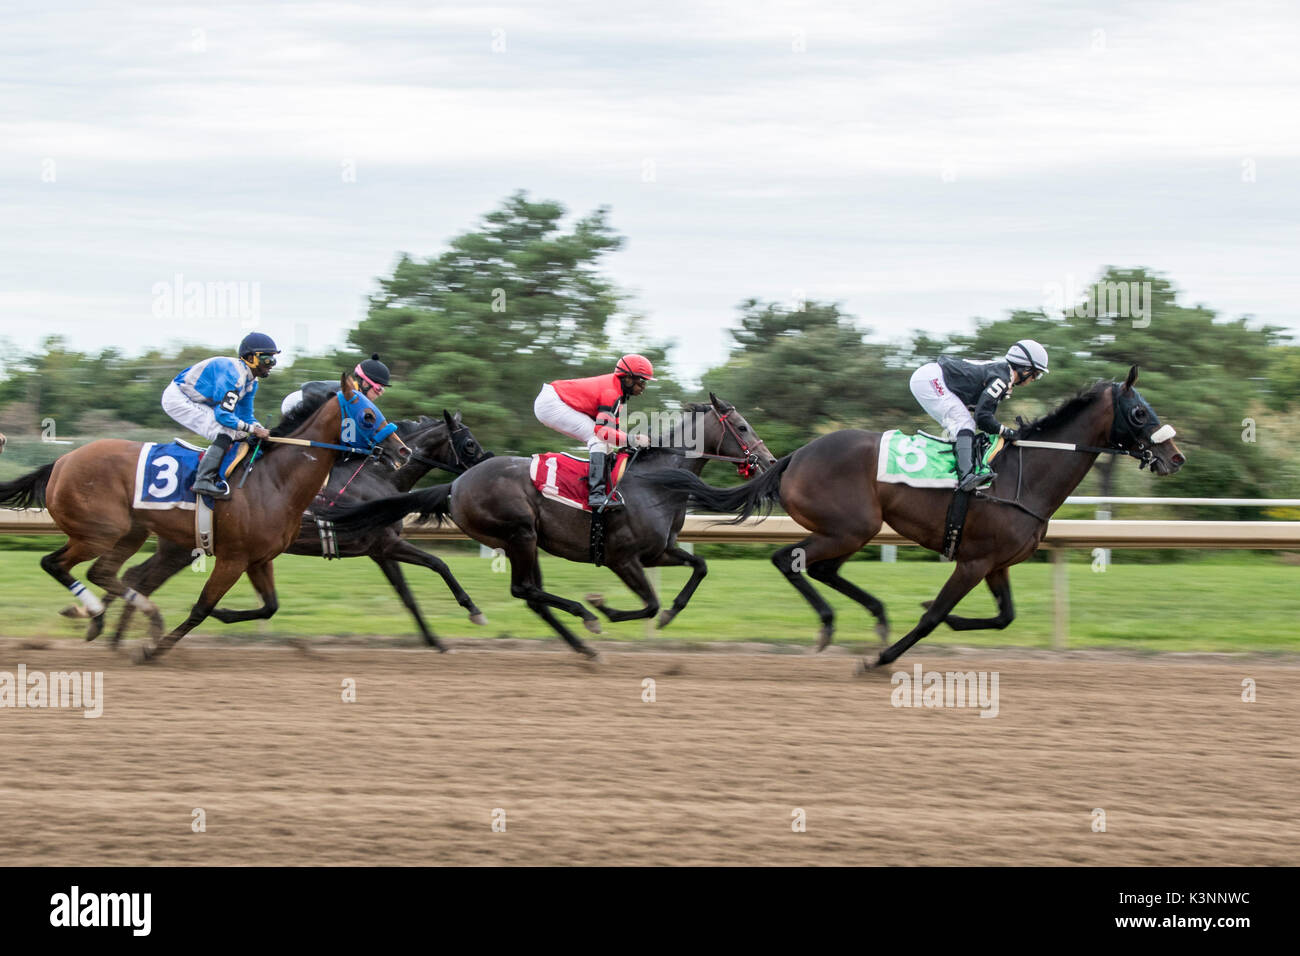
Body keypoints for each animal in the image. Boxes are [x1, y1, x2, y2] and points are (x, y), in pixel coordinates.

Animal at [0, 374, 408, 665]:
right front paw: (154, 649)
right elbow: (201, 607)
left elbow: (270, 606)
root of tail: (62, 461)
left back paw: (112, 618)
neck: (274, 479)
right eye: (368, 415)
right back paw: (101, 617)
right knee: (56, 564)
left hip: (131, 533)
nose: (401, 451)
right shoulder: (233, 557)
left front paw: (223, 616)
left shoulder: (259, 559)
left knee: (106, 573)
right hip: (98, 533)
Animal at [100, 411, 491, 650]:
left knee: (137, 577)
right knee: (140, 578)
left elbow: (408, 595)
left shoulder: (381, 551)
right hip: (183, 548)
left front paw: (434, 641)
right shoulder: (385, 544)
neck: (379, 477)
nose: (489, 463)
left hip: (183, 547)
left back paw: (114, 637)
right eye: (469, 443)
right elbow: (439, 564)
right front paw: (473, 609)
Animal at [321, 395, 774, 658]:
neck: (656, 481)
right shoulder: (622, 558)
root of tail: (456, 483)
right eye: (743, 427)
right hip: (521, 533)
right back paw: (583, 617)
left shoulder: (658, 551)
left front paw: (667, 617)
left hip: (528, 539)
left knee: (531, 594)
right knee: (525, 589)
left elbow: (698, 569)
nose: (769, 462)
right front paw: (604, 607)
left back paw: (579, 644)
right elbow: (648, 602)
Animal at [639, 369, 1190, 671]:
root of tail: (793, 457)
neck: (1025, 473)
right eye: (1140, 413)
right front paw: (880, 660)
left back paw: (873, 617)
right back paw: (832, 626)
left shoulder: (997, 563)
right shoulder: (972, 562)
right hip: (850, 527)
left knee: (818, 568)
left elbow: (1003, 616)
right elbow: (932, 618)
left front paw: (942, 619)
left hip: (851, 531)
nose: (1176, 457)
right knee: (789, 559)